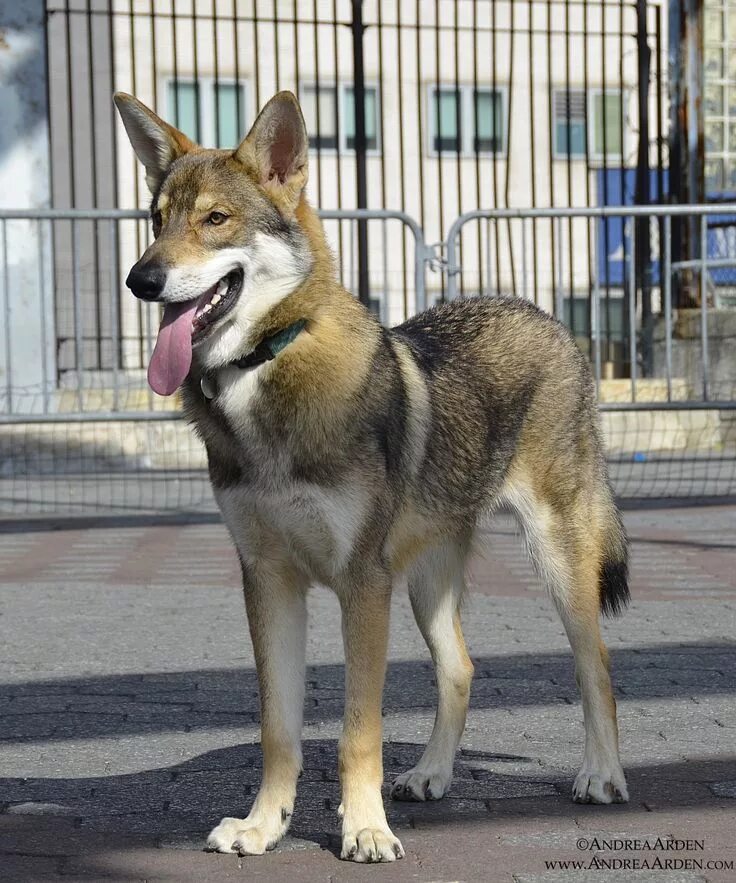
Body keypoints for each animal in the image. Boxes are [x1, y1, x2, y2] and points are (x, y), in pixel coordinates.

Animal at [116, 90, 632, 864]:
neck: (267, 373)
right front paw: (264, 825)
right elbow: (279, 729)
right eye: (156, 220)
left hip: (556, 564)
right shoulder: (268, 579)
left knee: (595, 663)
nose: (141, 280)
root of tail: (541, 313)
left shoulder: (362, 586)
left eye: (215, 219)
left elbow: (358, 733)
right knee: (461, 669)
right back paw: (430, 775)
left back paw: (601, 775)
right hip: (424, 583)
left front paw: (363, 828)